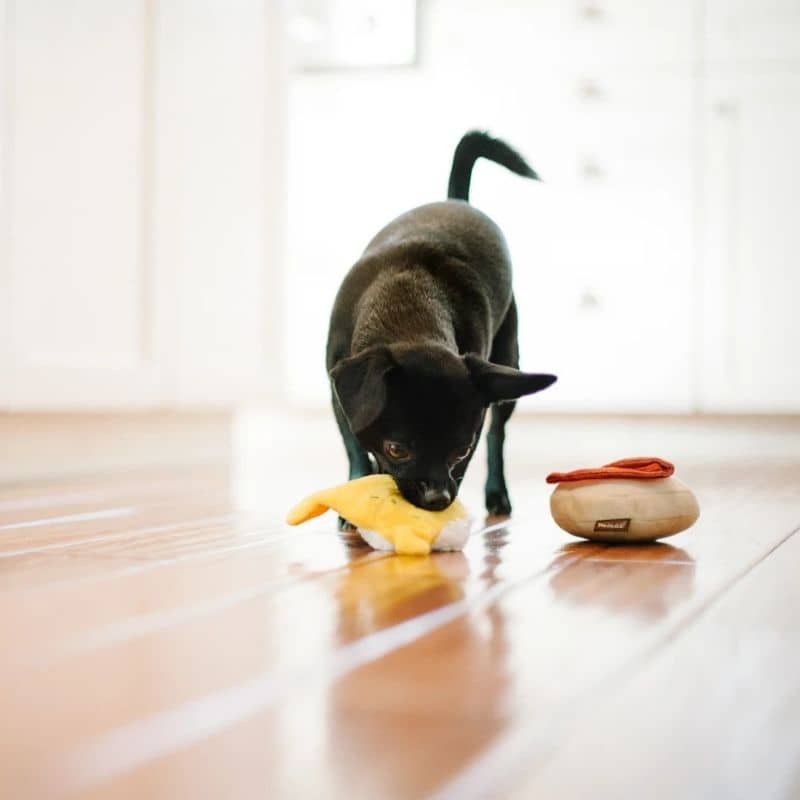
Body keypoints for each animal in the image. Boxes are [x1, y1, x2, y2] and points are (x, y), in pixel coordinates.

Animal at [324, 129, 556, 520]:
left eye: (460, 452)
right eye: (397, 449)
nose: (438, 500)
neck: (409, 305)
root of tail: (456, 200)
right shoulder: (340, 396)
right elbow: (355, 447)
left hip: (507, 363)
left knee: (497, 434)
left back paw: (497, 493)